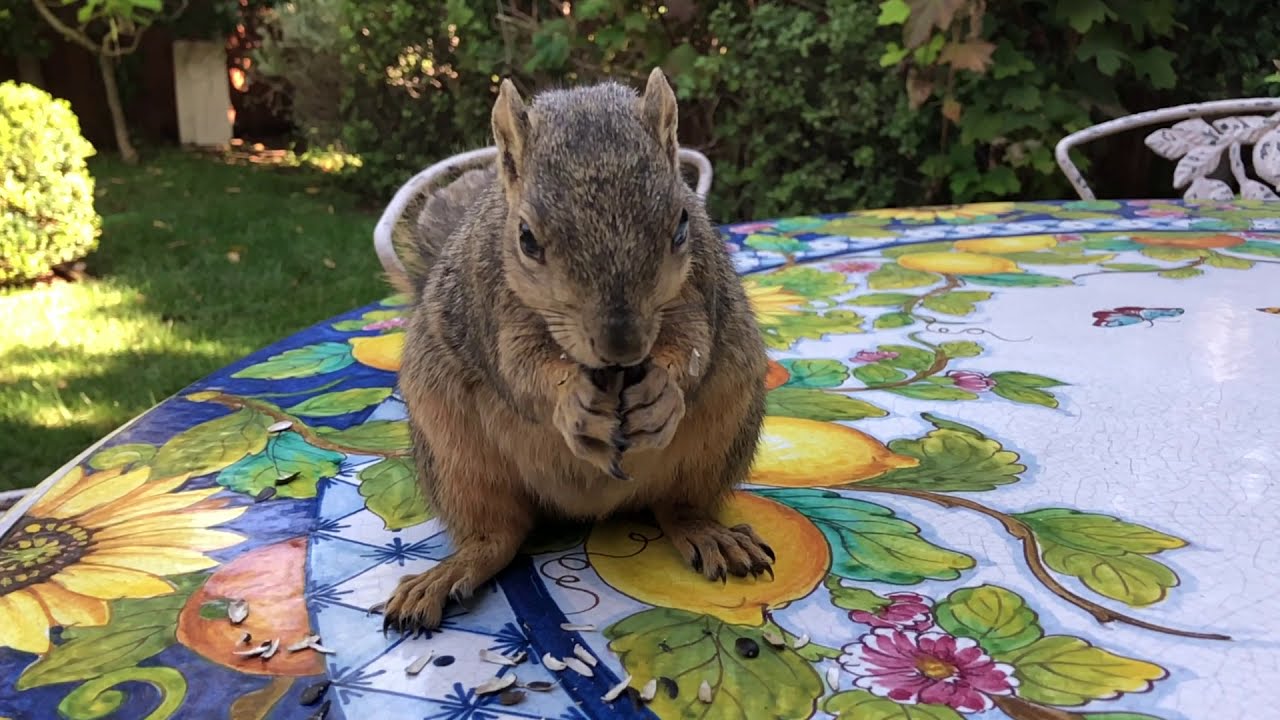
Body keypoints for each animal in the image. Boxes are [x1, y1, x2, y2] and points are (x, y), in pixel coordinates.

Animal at [383, 68, 771, 632]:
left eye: (682, 223)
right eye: (525, 238)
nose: (622, 346)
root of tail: (591, 509)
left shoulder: (700, 291)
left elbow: (693, 344)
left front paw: (663, 392)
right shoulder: (492, 308)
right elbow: (520, 369)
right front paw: (572, 401)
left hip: (722, 429)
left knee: (677, 506)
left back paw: (708, 533)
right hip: (455, 453)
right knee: (499, 535)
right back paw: (450, 571)